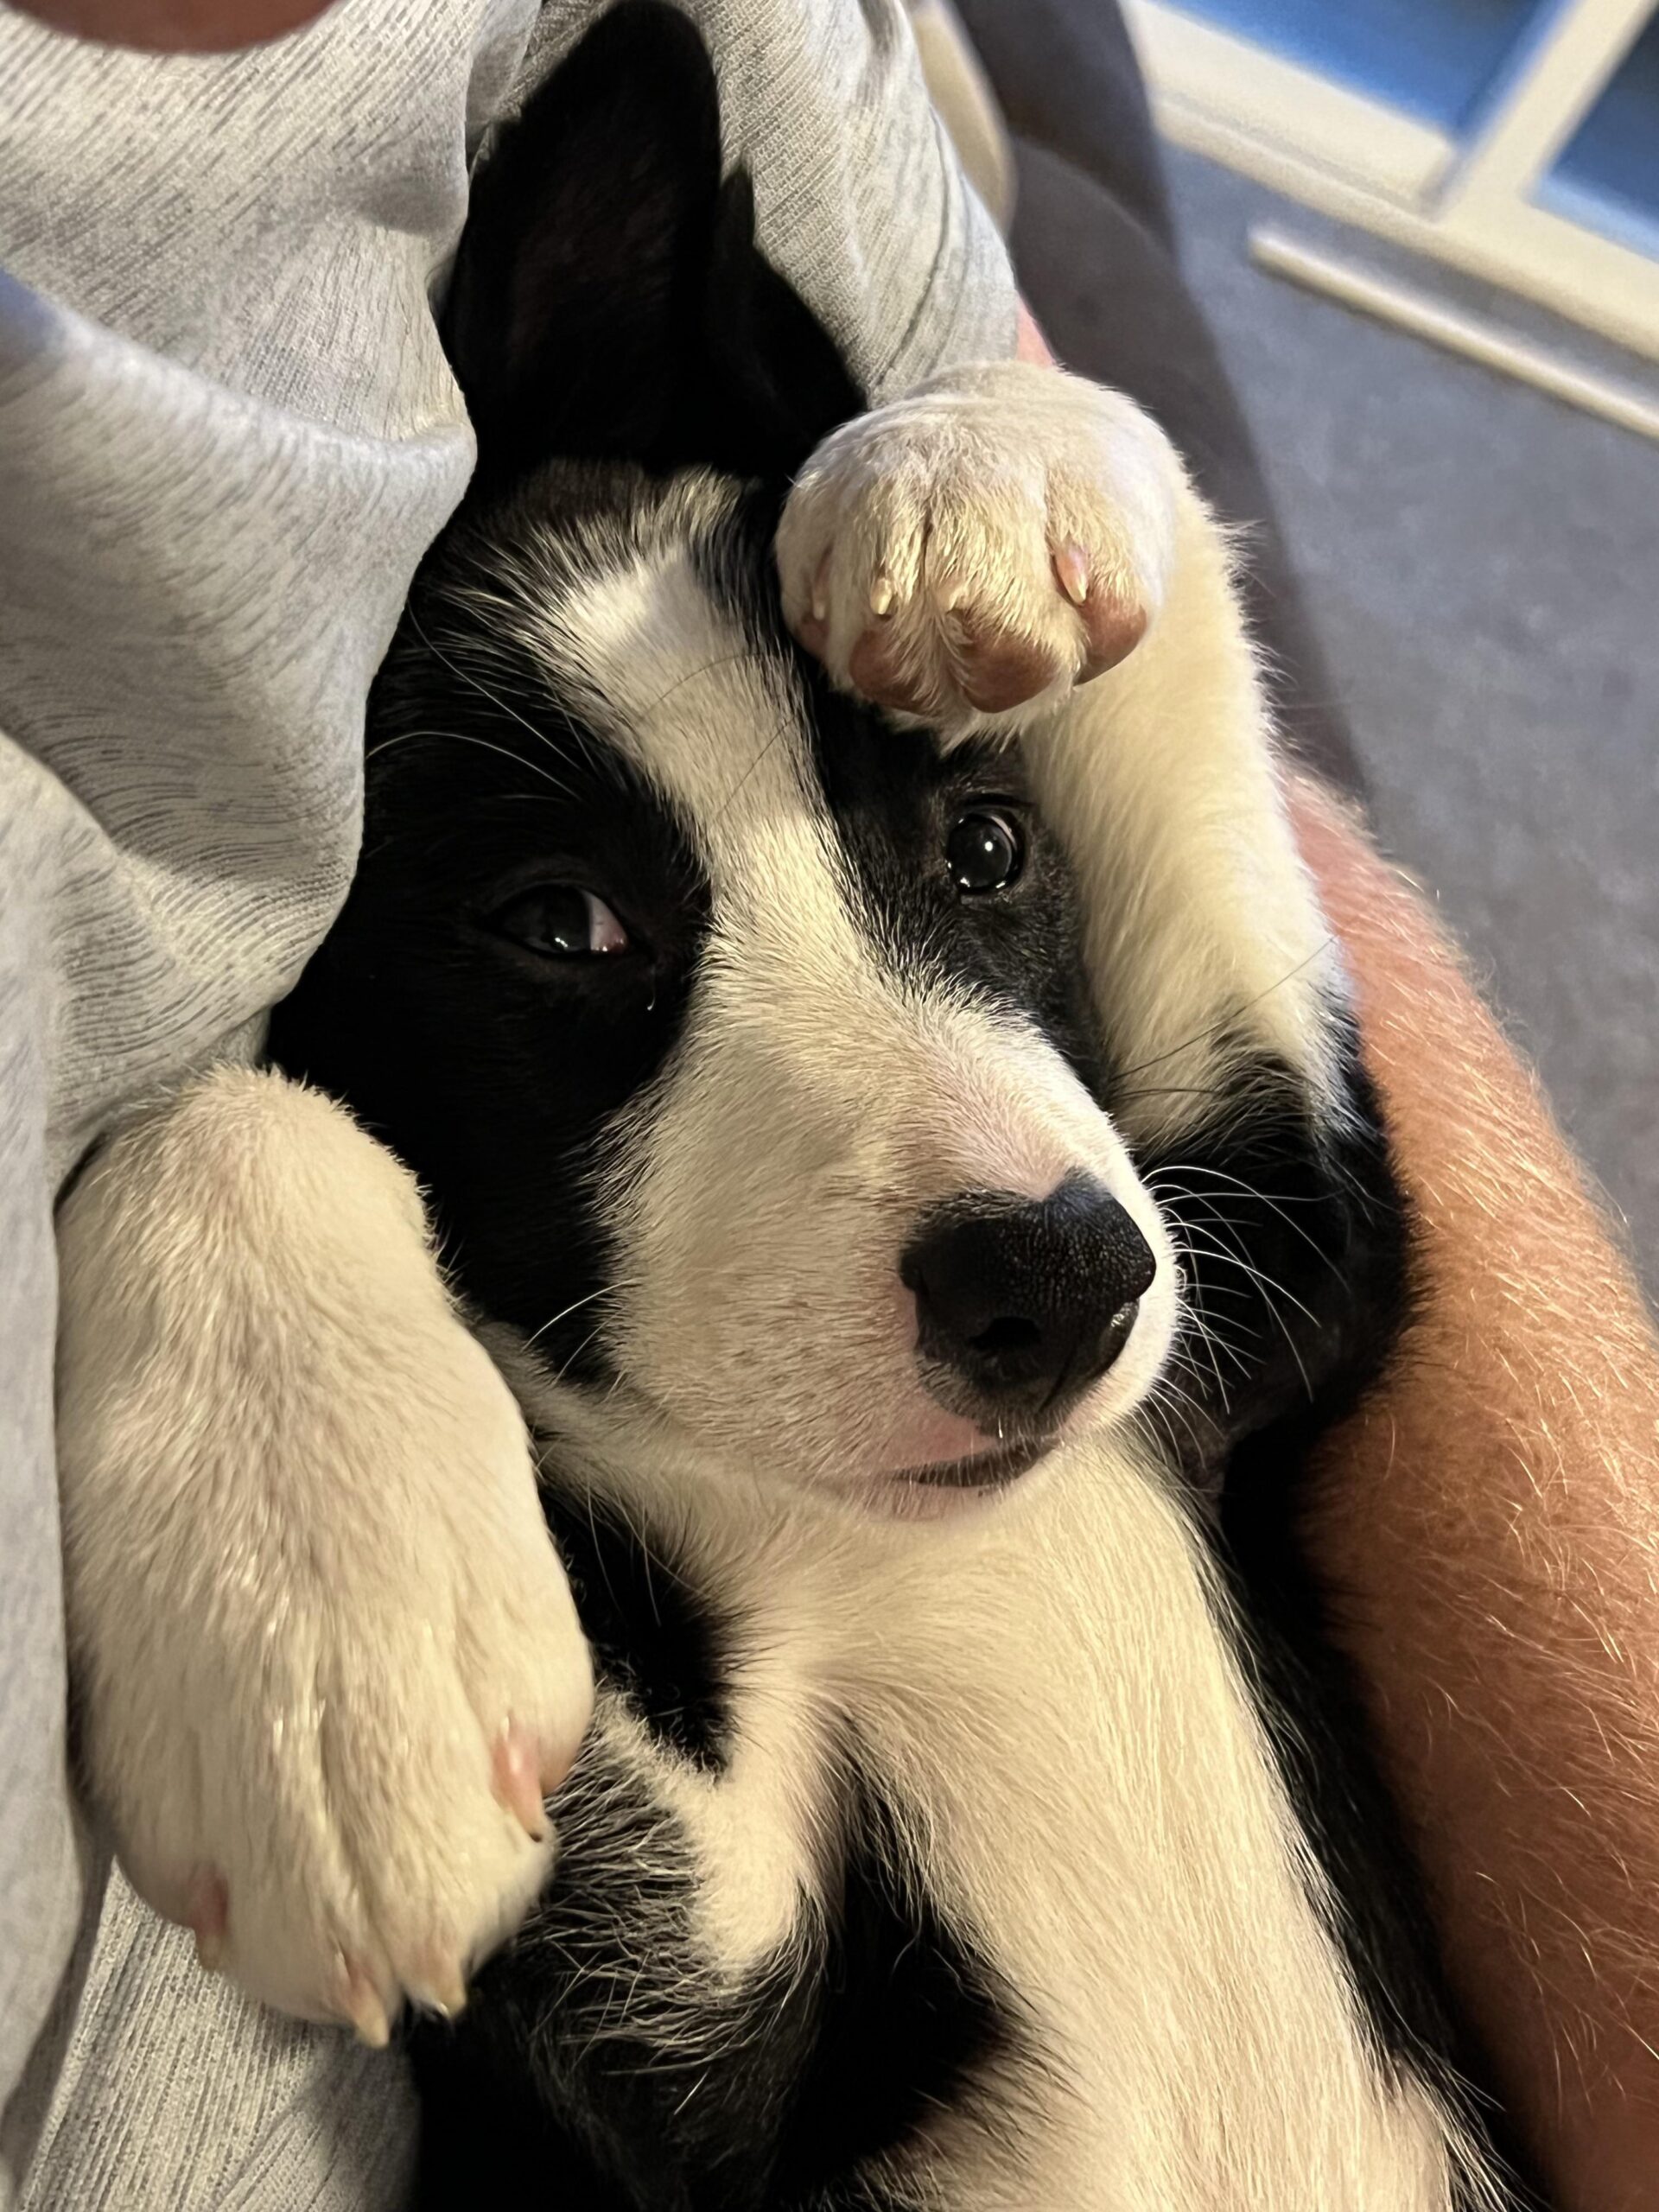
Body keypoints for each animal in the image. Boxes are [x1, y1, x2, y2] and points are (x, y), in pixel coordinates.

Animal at [61, 9, 1548, 2202]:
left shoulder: (1265, 1277)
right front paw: (324, 1626)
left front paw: (971, 476)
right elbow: (228, 1081)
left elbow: (1123, 487)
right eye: (562, 921)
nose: (1056, 1283)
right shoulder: (718, 2017)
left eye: (988, 850)